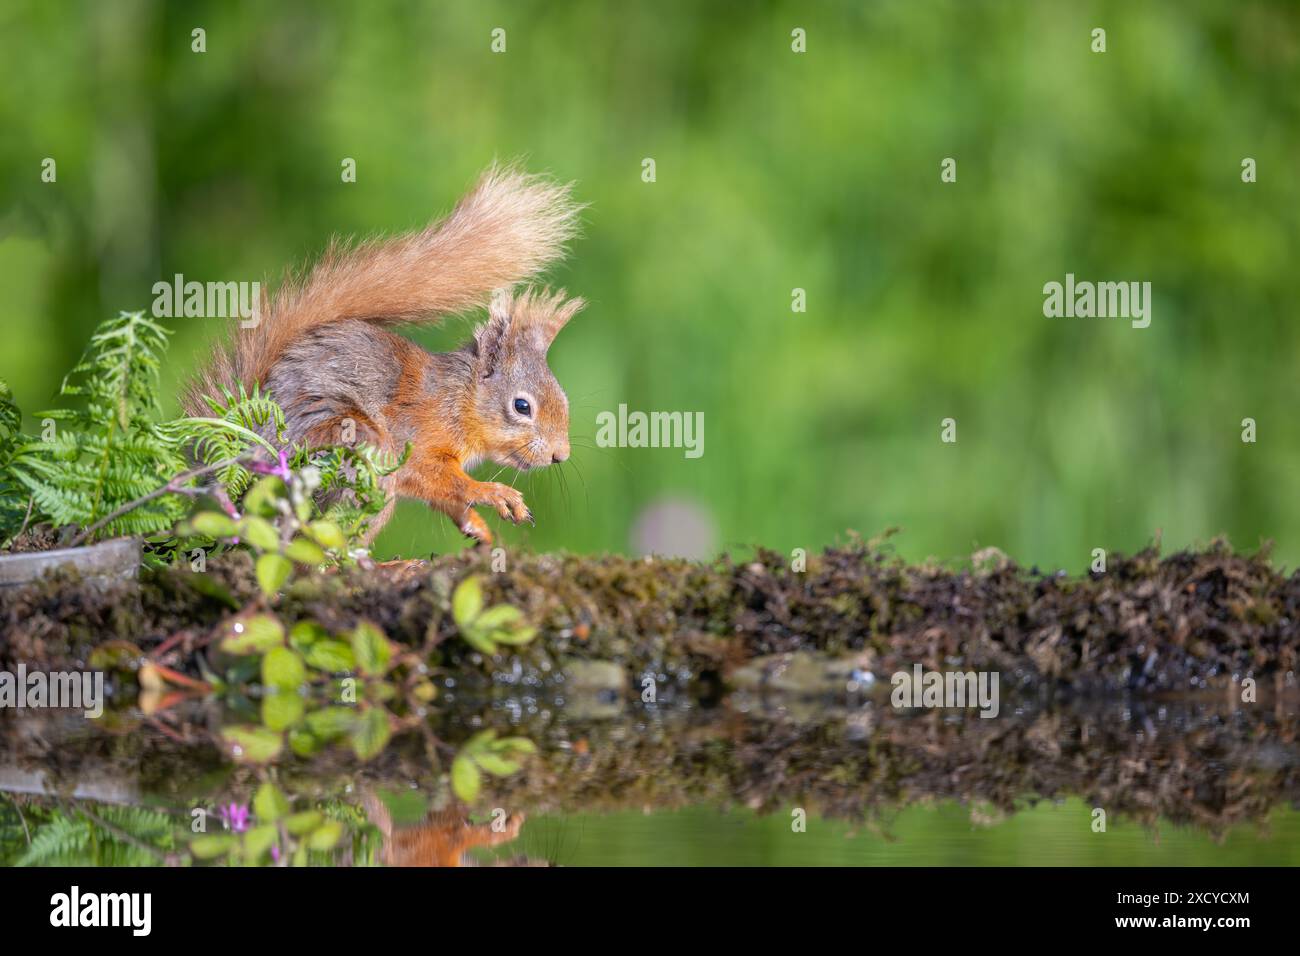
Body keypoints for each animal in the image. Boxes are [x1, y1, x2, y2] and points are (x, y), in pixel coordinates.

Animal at [183, 164, 585, 546]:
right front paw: (495, 493)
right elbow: (436, 477)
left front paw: (475, 525)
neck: (458, 400)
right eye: (522, 406)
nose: (560, 455)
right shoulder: (417, 439)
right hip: (358, 450)